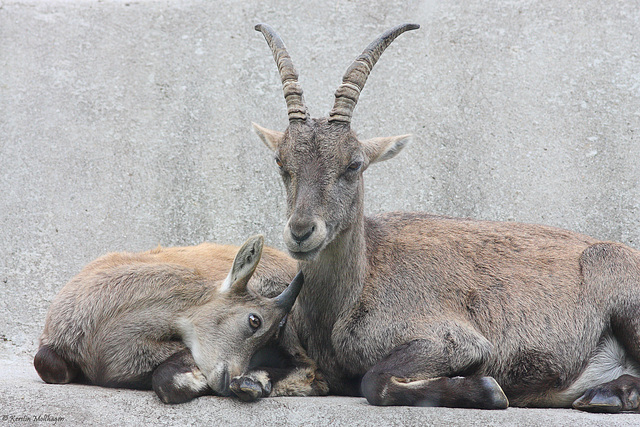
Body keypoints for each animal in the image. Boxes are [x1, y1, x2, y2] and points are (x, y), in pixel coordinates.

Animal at [35, 236, 308, 406]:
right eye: (255, 320)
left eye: (275, 329)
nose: (228, 381)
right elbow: (45, 362)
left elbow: (165, 381)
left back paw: (253, 382)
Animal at [248, 24, 640, 414]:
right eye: (281, 162)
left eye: (354, 164)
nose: (301, 231)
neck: (352, 290)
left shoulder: (450, 339)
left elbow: (374, 381)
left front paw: (487, 389)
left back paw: (609, 395)